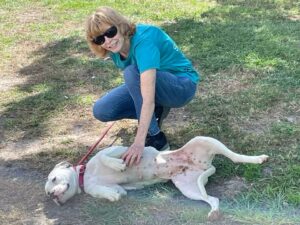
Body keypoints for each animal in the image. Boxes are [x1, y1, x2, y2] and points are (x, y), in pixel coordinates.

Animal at [45, 136, 268, 219]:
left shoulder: (120, 149)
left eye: (54, 179)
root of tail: (206, 166)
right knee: (213, 199)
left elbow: (105, 156)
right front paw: (111, 196)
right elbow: (111, 191)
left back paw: (258, 159)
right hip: (189, 188)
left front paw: (117, 165)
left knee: (236, 157)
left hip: (205, 140)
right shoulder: (107, 186)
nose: (52, 196)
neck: (85, 175)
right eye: (48, 194)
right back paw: (213, 212)